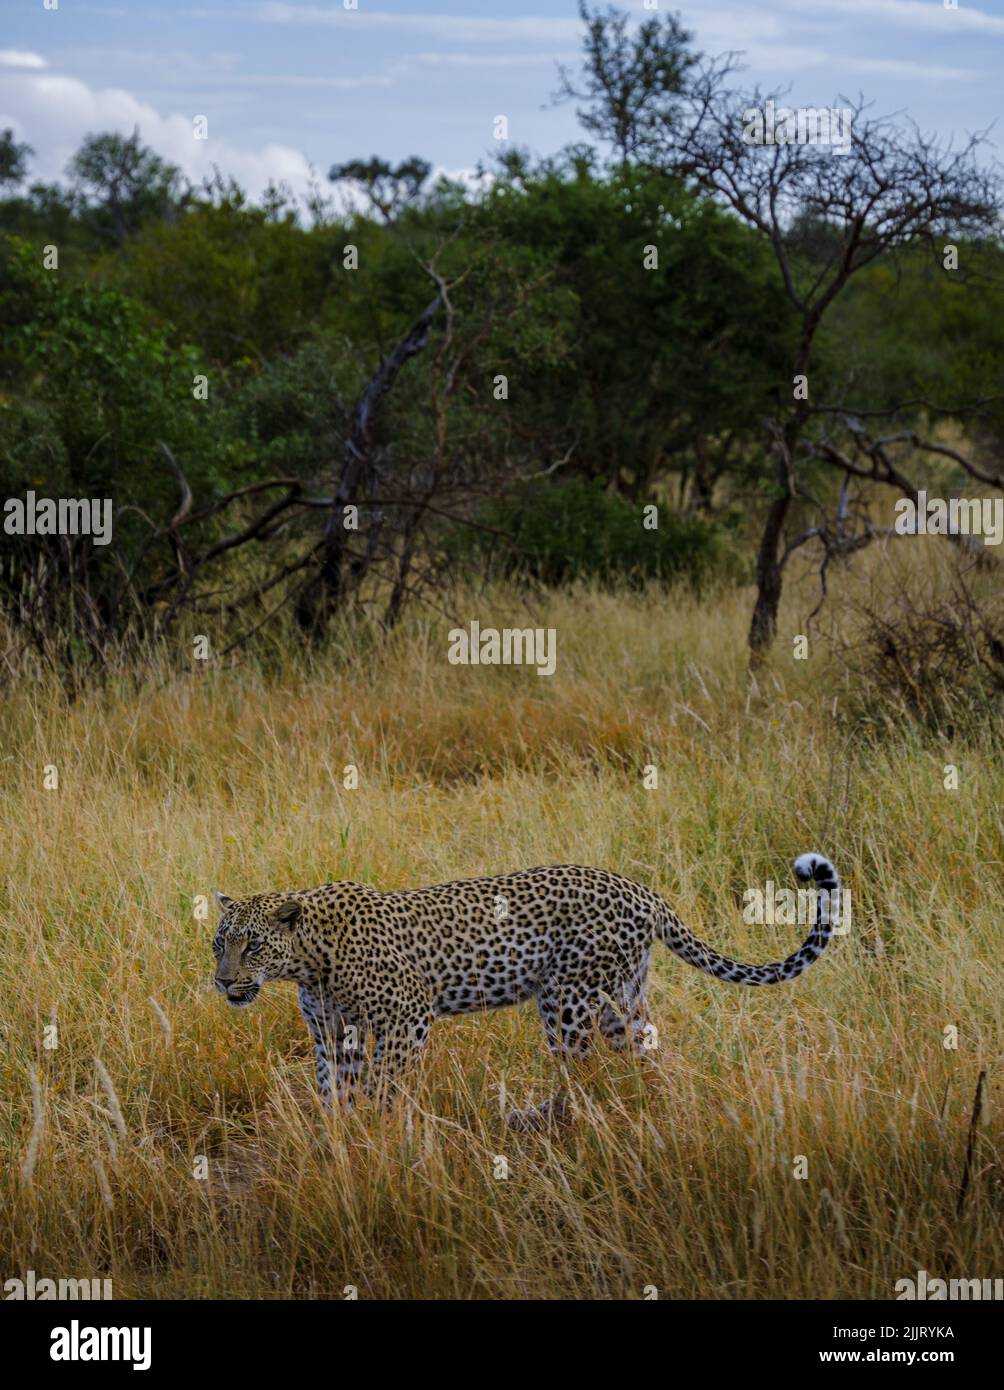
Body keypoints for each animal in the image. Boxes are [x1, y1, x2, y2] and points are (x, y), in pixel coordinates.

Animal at [212, 851, 839, 1128]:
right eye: (219, 943)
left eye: (253, 946)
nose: (222, 981)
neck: (310, 960)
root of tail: (641, 890)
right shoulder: (331, 1032)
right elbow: (333, 1091)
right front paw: (338, 1141)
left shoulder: (407, 1017)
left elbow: (386, 1085)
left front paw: (384, 1133)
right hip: (620, 999)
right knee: (643, 1056)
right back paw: (642, 1107)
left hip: (566, 998)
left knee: (579, 1070)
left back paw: (545, 1119)